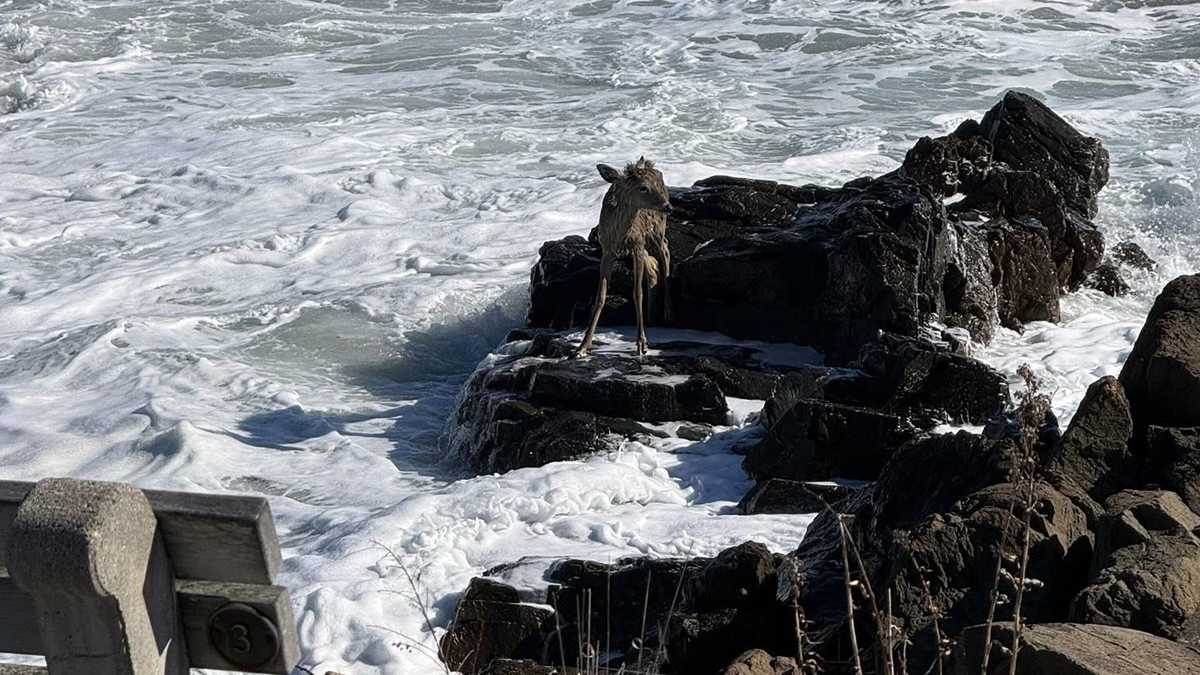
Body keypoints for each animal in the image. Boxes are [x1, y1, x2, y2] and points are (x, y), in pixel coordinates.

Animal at [574, 157, 672, 358]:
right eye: (643, 187)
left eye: (654, 185)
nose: (668, 206)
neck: (620, 234)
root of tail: (647, 163)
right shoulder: (607, 250)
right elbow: (600, 296)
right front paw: (583, 347)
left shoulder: (637, 244)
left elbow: (637, 292)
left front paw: (641, 343)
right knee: (653, 269)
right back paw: (651, 317)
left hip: (657, 228)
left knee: (665, 251)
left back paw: (666, 312)